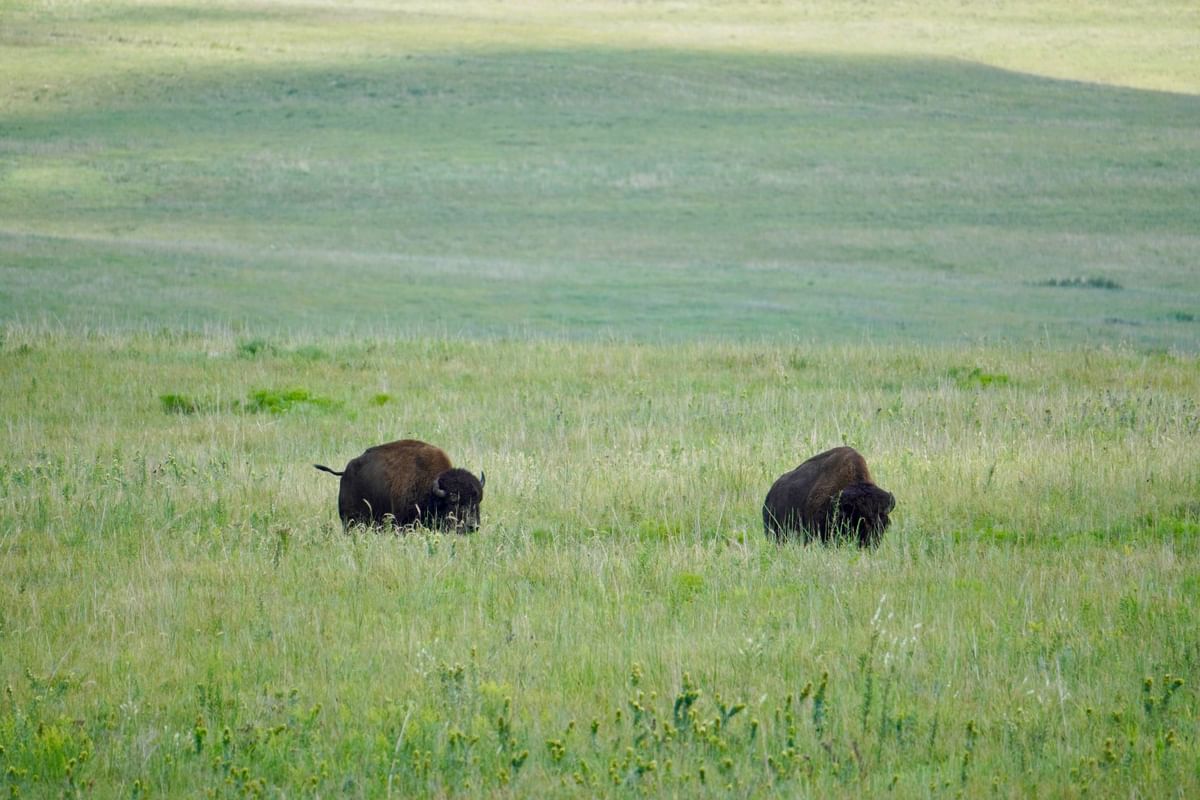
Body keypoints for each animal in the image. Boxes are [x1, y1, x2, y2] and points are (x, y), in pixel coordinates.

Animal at [315, 439, 485, 533]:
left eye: (477, 502)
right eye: (454, 502)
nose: (473, 526)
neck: (431, 489)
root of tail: (345, 472)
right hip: (350, 521)